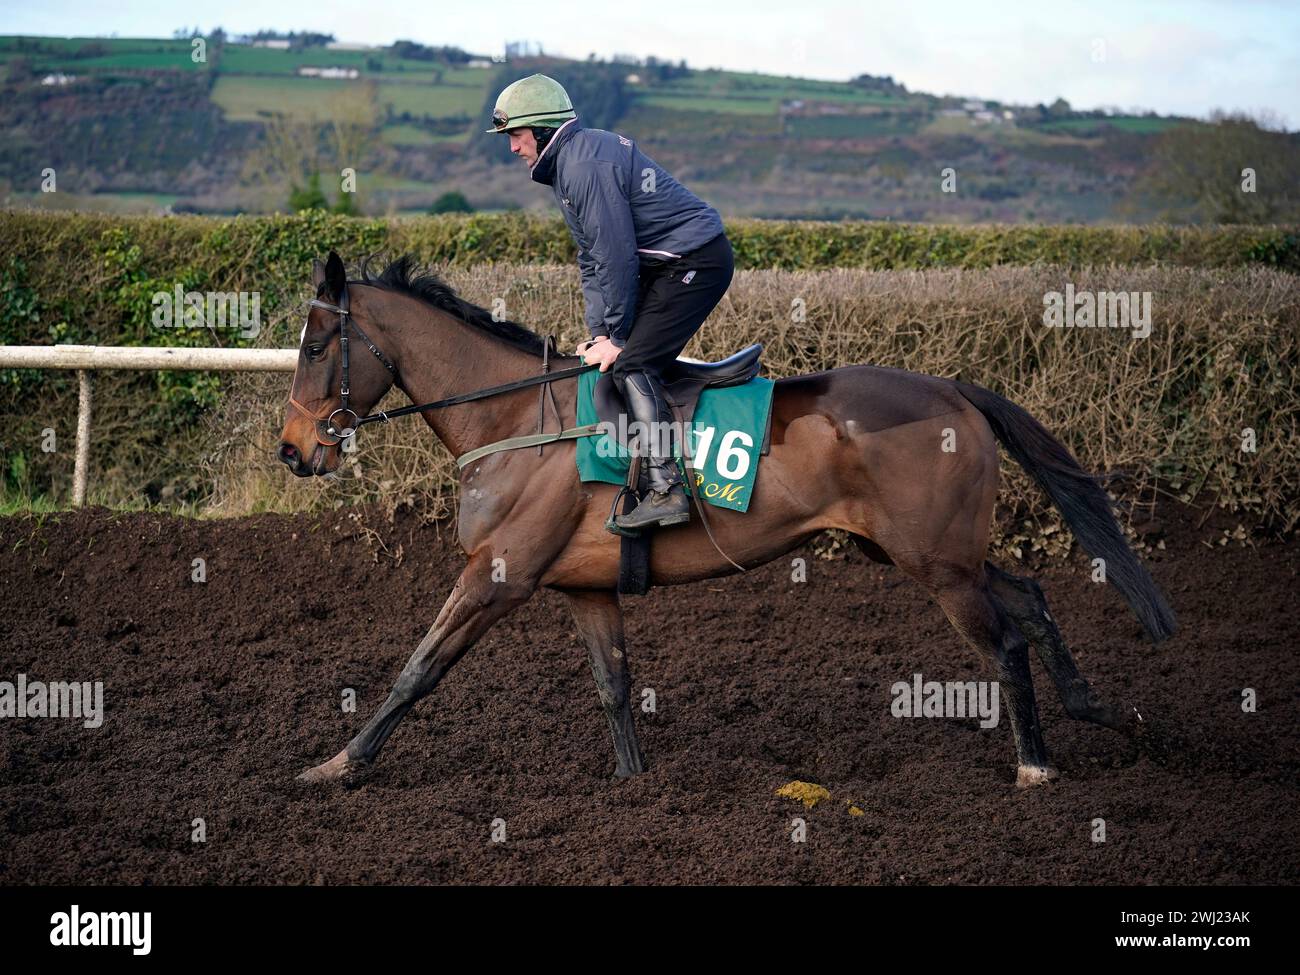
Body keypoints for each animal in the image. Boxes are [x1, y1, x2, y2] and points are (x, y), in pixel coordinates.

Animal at [279, 253, 1175, 795]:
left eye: (316, 346)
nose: (292, 451)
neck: (516, 420)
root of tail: (956, 387)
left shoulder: (497, 575)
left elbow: (417, 668)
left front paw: (337, 763)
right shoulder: (584, 586)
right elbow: (612, 684)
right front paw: (634, 781)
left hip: (935, 562)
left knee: (1007, 638)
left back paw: (1035, 765)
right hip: (919, 551)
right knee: (1029, 596)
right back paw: (1099, 709)